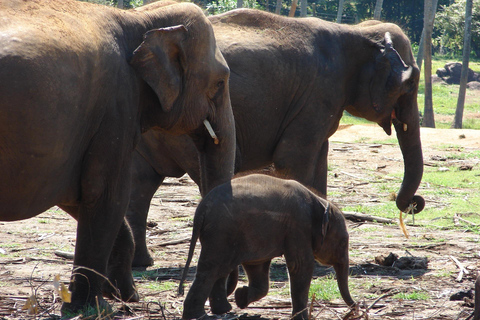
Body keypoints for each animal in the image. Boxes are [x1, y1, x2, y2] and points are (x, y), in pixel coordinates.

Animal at [0, 0, 235, 316]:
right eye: (221, 82)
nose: (225, 308)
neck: (139, 18)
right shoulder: (116, 107)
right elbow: (106, 195)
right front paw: (95, 306)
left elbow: (75, 195)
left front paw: (123, 294)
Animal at [126, 8, 424, 268]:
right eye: (410, 84)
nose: (413, 203)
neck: (356, 31)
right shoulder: (318, 95)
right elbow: (294, 161)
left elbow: (319, 163)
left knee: (141, 183)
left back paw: (142, 262)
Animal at [178, 175, 354, 320]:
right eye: (343, 242)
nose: (356, 307)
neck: (319, 202)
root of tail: (201, 209)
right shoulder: (299, 226)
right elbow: (301, 265)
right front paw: (302, 318)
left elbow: (257, 266)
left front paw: (241, 297)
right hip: (221, 232)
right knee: (211, 269)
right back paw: (198, 315)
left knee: (219, 269)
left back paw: (223, 310)